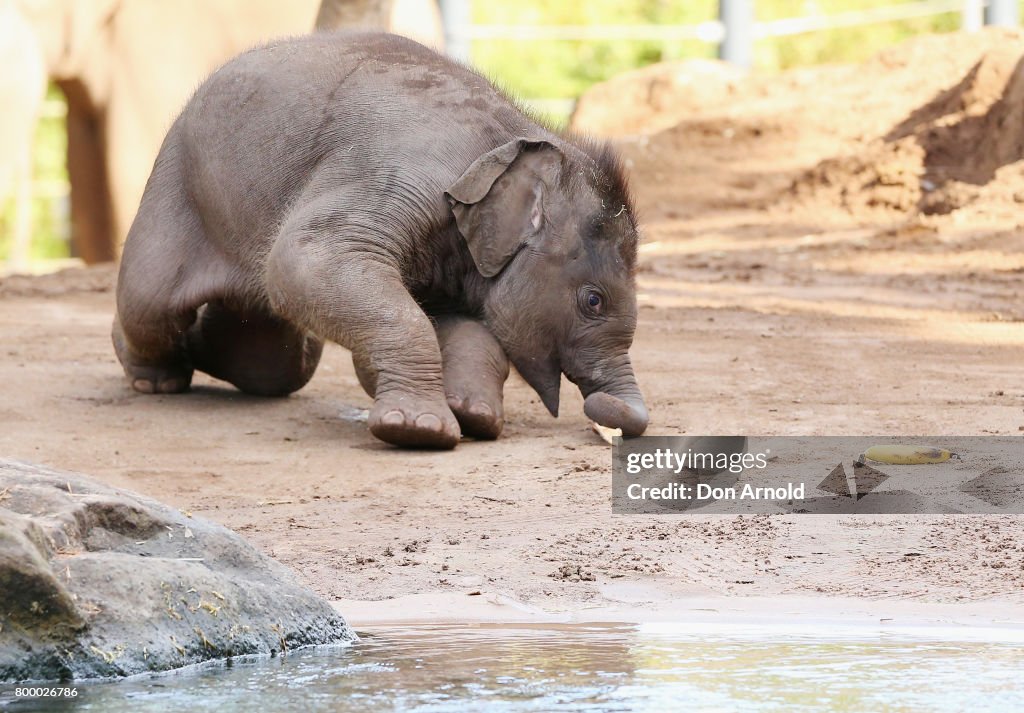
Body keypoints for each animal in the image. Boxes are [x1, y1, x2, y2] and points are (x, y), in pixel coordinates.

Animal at [114, 32, 647, 450]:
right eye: (593, 301)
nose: (616, 422)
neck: (515, 135)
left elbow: (464, 327)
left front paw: (472, 417)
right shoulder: (394, 175)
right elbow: (305, 258)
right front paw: (419, 430)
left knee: (271, 362)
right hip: (175, 189)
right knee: (150, 302)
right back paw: (153, 377)